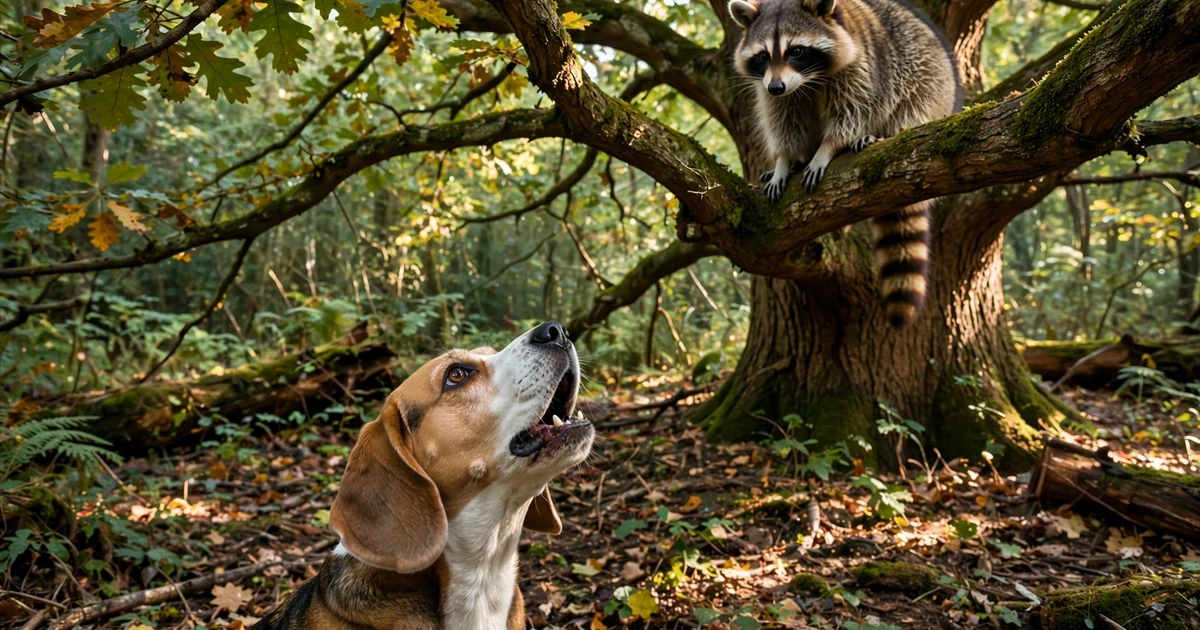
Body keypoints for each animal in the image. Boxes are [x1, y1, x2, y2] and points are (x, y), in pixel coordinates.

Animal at [728, 0, 961, 327]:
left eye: (796, 51)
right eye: (763, 56)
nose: (777, 86)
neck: (807, 80)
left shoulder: (863, 67)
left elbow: (854, 111)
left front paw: (827, 149)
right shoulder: (772, 90)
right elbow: (784, 121)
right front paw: (784, 161)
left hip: (930, 79)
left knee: (910, 105)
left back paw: (876, 135)